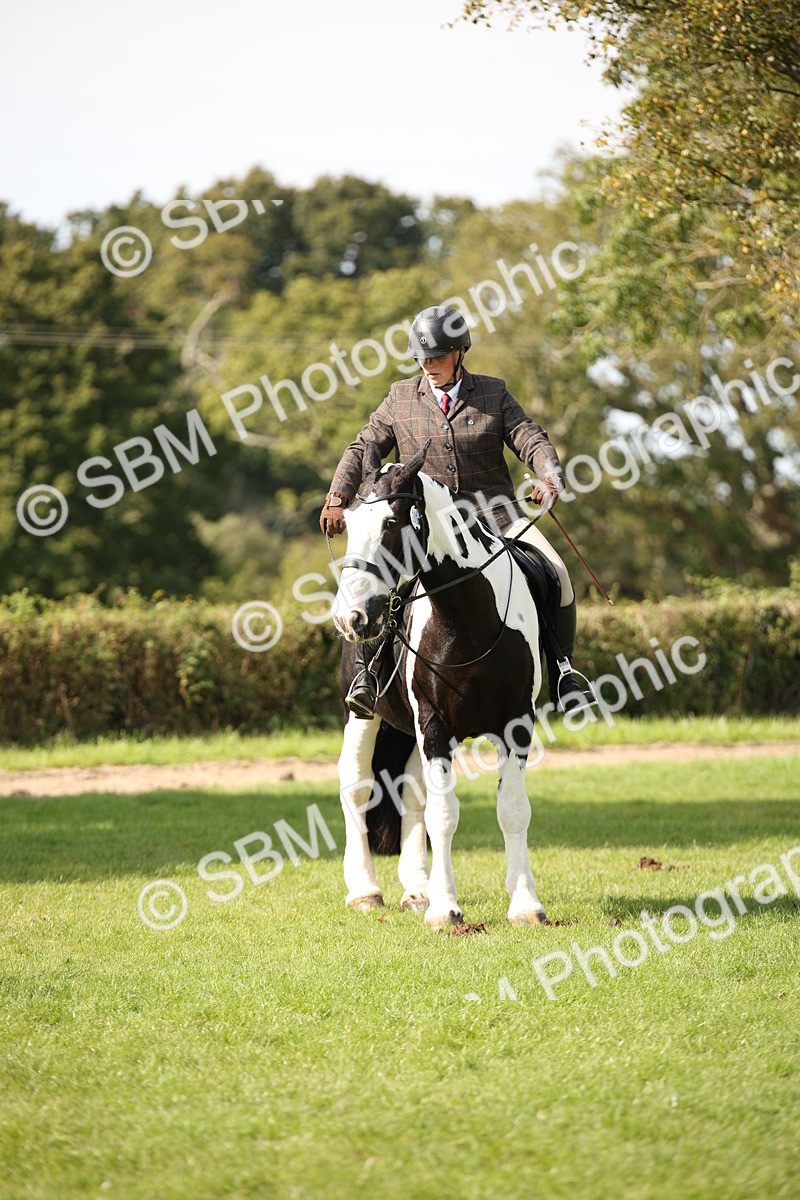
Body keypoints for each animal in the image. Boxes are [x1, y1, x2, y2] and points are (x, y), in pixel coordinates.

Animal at [330, 441, 555, 930]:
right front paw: (445, 909)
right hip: (364, 717)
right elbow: (444, 814)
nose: (350, 617)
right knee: (356, 786)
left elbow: (513, 810)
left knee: (410, 795)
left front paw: (525, 903)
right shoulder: (433, 726)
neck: (467, 620)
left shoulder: (515, 724)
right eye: (349, 523)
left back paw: (417, 889)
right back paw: (365, 891)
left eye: (390, 522)